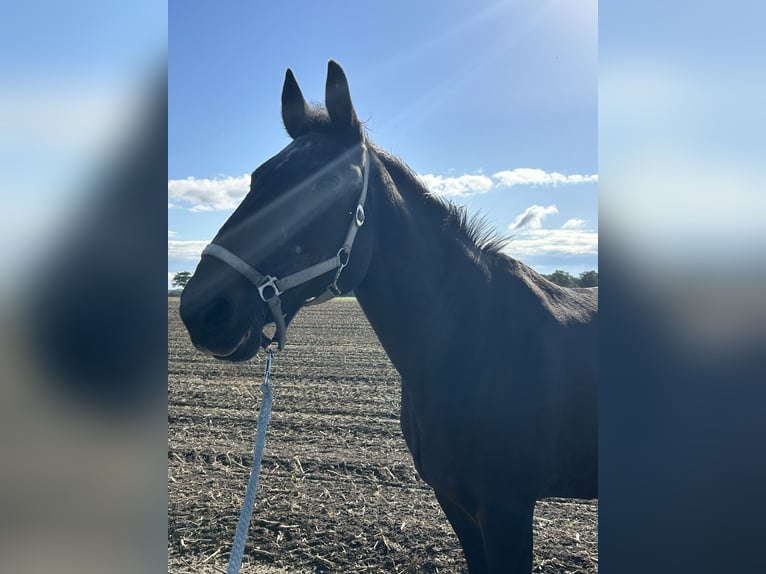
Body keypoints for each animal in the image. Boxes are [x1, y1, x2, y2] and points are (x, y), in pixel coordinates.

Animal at [182, 60, 600, 572]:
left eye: (326, 184)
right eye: (256, 178)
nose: (202, 310)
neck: (477, 342)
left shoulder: (507, 510)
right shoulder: (455, 501)